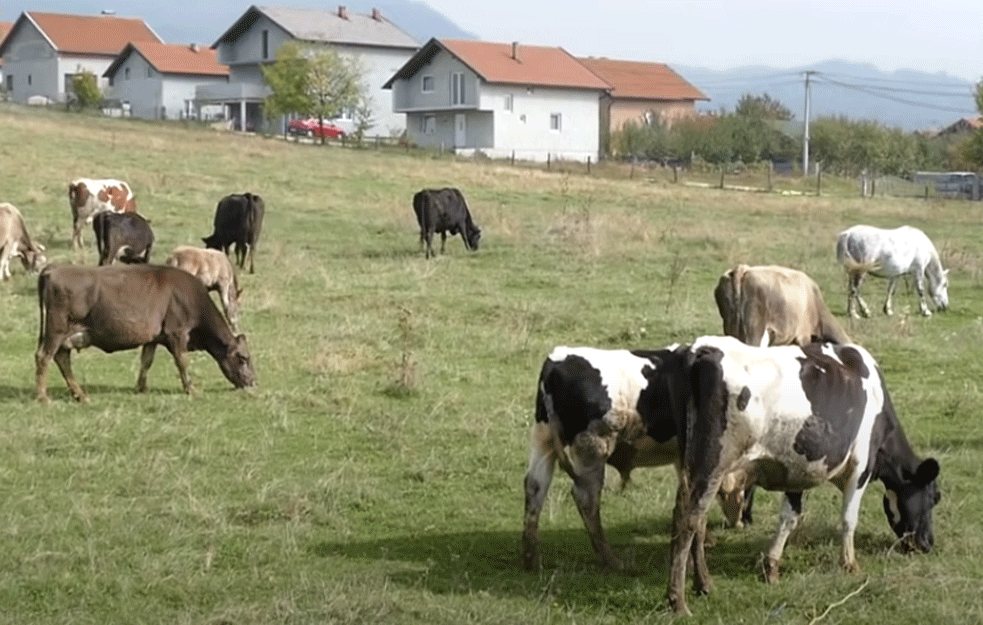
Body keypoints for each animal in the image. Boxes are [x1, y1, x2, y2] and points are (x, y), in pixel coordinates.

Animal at [524, 344, 744, 572]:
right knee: (586, 499)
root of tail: (555, 361)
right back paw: (611, 560)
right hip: (592, 451)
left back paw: (532, 559)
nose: (739, 521)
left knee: (535, 487)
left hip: (543, 442)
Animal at [664, 336, 940, 616]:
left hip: (691, 464)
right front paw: (849, 564)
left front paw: (771, 566)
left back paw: (703, 585)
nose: (928, 543)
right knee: (688, 520)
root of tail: (702, 350)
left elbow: (789, 516)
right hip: (711, 464)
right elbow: (849, 519)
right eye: (934, 497)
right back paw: (678, 601)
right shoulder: (861, 466)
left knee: (694, 520)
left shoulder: (797, 468)